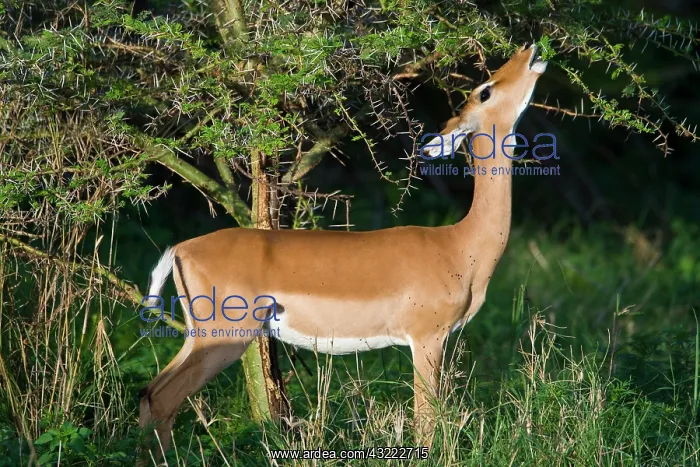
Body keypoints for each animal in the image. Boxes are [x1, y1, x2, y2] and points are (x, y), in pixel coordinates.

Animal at [138, 44, 548, 453]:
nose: (531, 52)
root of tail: (181, 249)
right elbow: (426, 419)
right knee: (163, 398)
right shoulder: (426, 339)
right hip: (222, 339)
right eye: (485, 90)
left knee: (149, 392)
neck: (459, 246)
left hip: (198, 338)